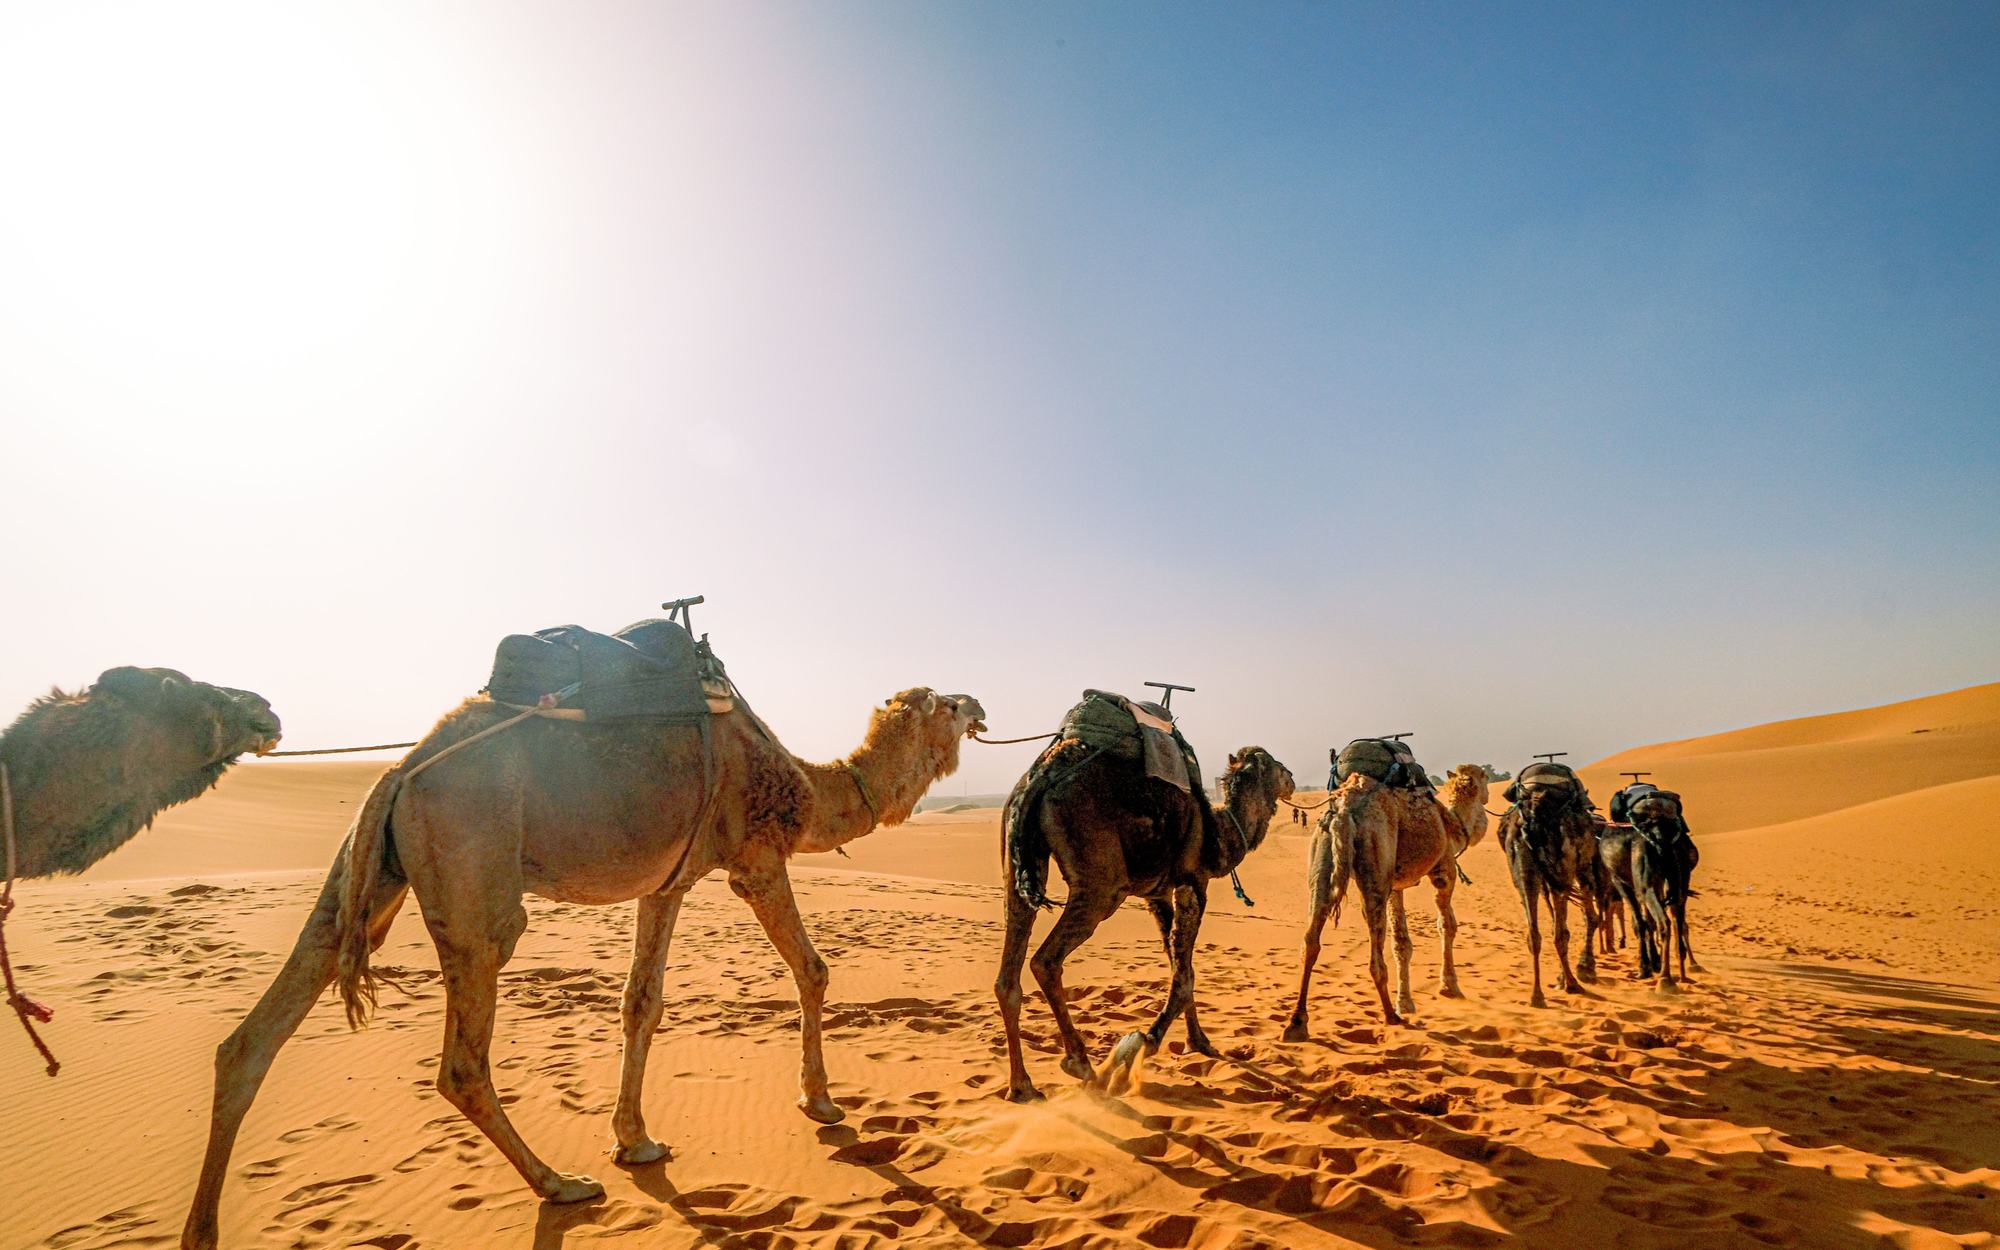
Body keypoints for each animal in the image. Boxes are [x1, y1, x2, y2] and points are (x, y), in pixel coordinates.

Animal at [181, 684, 986, 1250]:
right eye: (946, 703)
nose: (980, 705)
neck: (805, 784)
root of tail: (403, 770)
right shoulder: (754, 859)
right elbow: (814, 970)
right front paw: (820, 1101)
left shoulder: (668, 879)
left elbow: (642, 1001)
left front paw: (635, 1138)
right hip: (474, 880)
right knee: (462, 1061)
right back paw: (559, 1184)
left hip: (366, 872)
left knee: (253, 1036)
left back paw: (201, 1230)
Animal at [996, 744, 1294, 1102]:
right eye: (1274, 765)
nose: (1291, 778)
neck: (1219, 832)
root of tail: (1038, 780)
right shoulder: (1194, 882)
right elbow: (1184, 976)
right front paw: (1142, 1042)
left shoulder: (1159, 894)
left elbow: (1180, 965)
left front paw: (1199, 1041)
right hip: (1101, 885)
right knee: (1045, 960)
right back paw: (1081, 1063)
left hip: (1017, 866)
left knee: (1008, 975)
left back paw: (1021, 1086)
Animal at [1285, 763, 1490, 1036]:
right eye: (1484, 777)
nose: (1489, 795)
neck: (1453, 824)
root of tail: (1345, 810)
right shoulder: (1444, 869)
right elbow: (1447, 925)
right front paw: (1449, 987)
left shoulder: (1396, 887)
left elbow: (1401, 942)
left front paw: (1406, 1002)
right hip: (1376, 856)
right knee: (1374, 948)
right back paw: (1391, 1016)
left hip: (1322, 848)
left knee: (1311, 936)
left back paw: (1297, 1021)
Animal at [1497, 777, 1604, 1008]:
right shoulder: (1581, 871)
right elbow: (1590, 918)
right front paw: (1585, 968)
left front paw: (1563, 976)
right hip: (1563, 872)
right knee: (1561, 933)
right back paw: (1573, 984)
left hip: (1525, 872)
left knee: (1534, 933)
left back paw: (1537, 995)